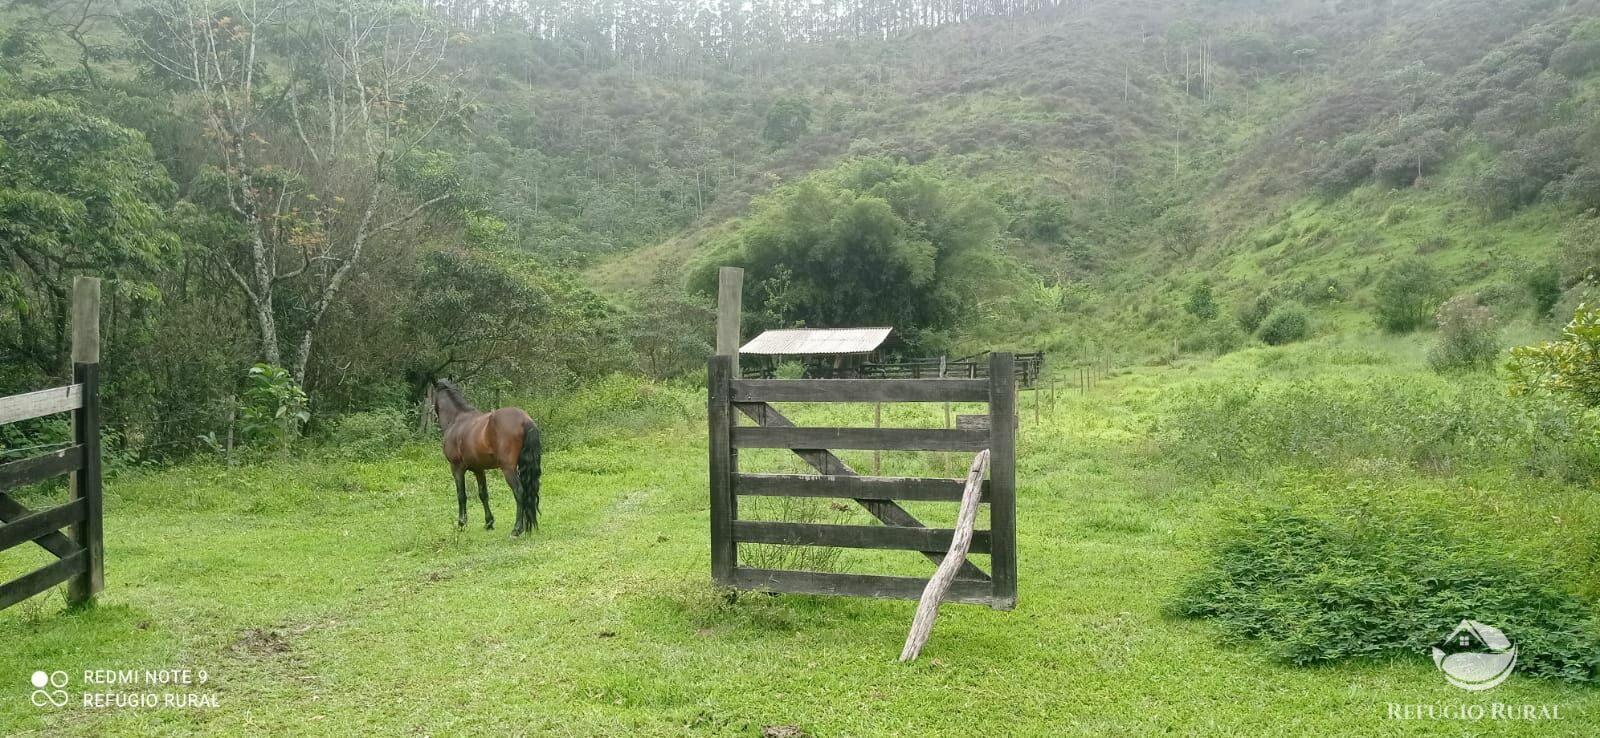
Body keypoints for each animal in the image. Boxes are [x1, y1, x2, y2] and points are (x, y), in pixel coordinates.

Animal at [432, 379, 544, 534]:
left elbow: (461, 495)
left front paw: (461, 523)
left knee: (519, 491)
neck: (456, 420)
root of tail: (525, 420)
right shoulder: (479, 469)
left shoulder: (456, 468)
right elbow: (483, 494)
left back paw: (517, 529)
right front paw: (489, 522)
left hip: (508, 469)